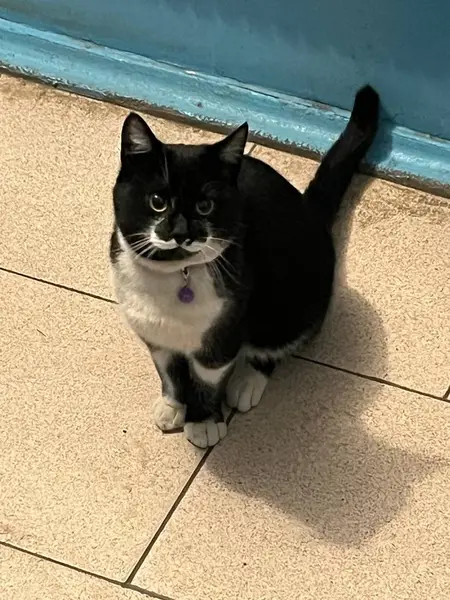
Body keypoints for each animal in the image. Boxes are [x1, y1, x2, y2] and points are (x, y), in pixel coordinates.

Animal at [110, 85, 379, 448]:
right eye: (157, 202)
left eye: (205, 206)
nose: (181, 232)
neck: (174, 278)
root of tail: (308, 209)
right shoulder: (154, 334)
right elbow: (169, 371)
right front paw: (173, 405)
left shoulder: (222, 336)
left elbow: (206, 381)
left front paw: (204, 422)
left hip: (290, 303)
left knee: (272, 346)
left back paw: (247, 384)